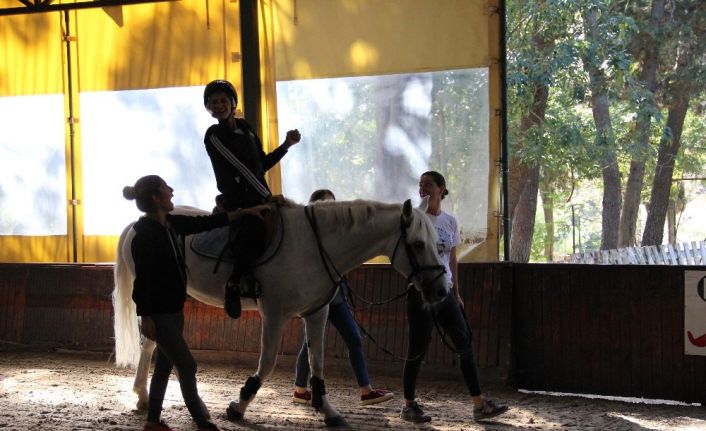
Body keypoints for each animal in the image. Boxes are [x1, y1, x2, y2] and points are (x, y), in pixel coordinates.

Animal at [113, 197, 448, 426]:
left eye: (438, 244)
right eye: (418, 244)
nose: (441, 292)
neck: (314, 247)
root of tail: (136, 225)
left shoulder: (317, 313)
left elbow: (317, 363)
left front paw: (327, 410)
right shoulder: (274, 315)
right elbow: (268, 362)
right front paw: (238, 406)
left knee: (155, 343)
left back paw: (145, 396)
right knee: (149, 343)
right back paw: (143, 395)